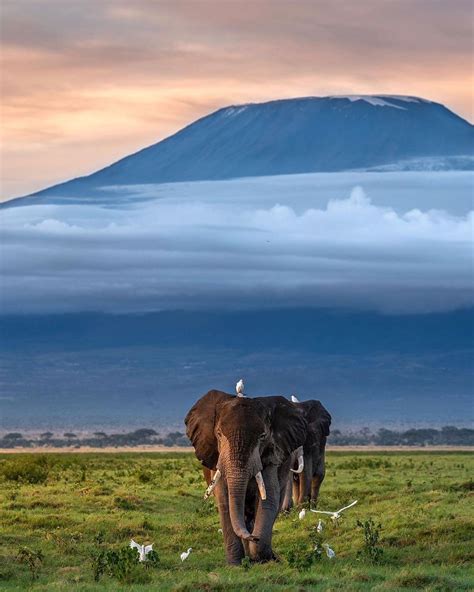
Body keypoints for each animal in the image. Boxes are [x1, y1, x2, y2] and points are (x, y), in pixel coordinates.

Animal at [185, 388, 308, 564]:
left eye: (263, 436)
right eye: (219, 434)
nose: (253, 537)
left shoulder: (271, 454)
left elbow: (269, 498)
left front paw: (263, 558)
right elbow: (224, 500)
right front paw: (235, 564)